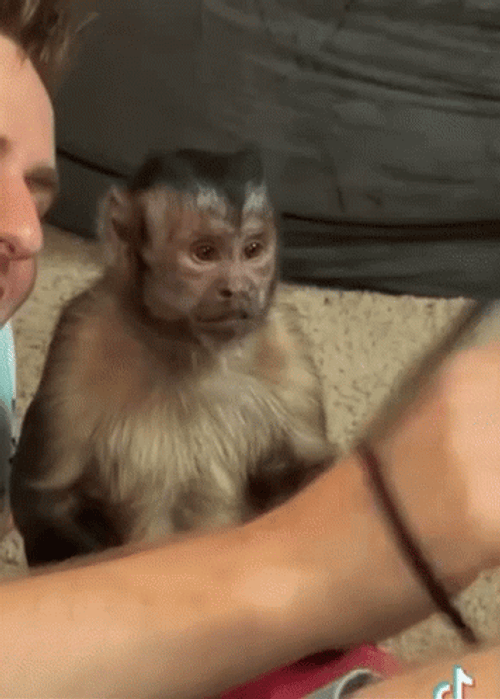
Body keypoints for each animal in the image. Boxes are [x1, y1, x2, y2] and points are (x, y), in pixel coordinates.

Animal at [10, 145, 336, 567]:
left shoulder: (287, 347)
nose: (238, 288)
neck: (184, 346)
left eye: (252, 250)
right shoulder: (79, 339)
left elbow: (311, 469)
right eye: (205, 253)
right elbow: (46, 499)